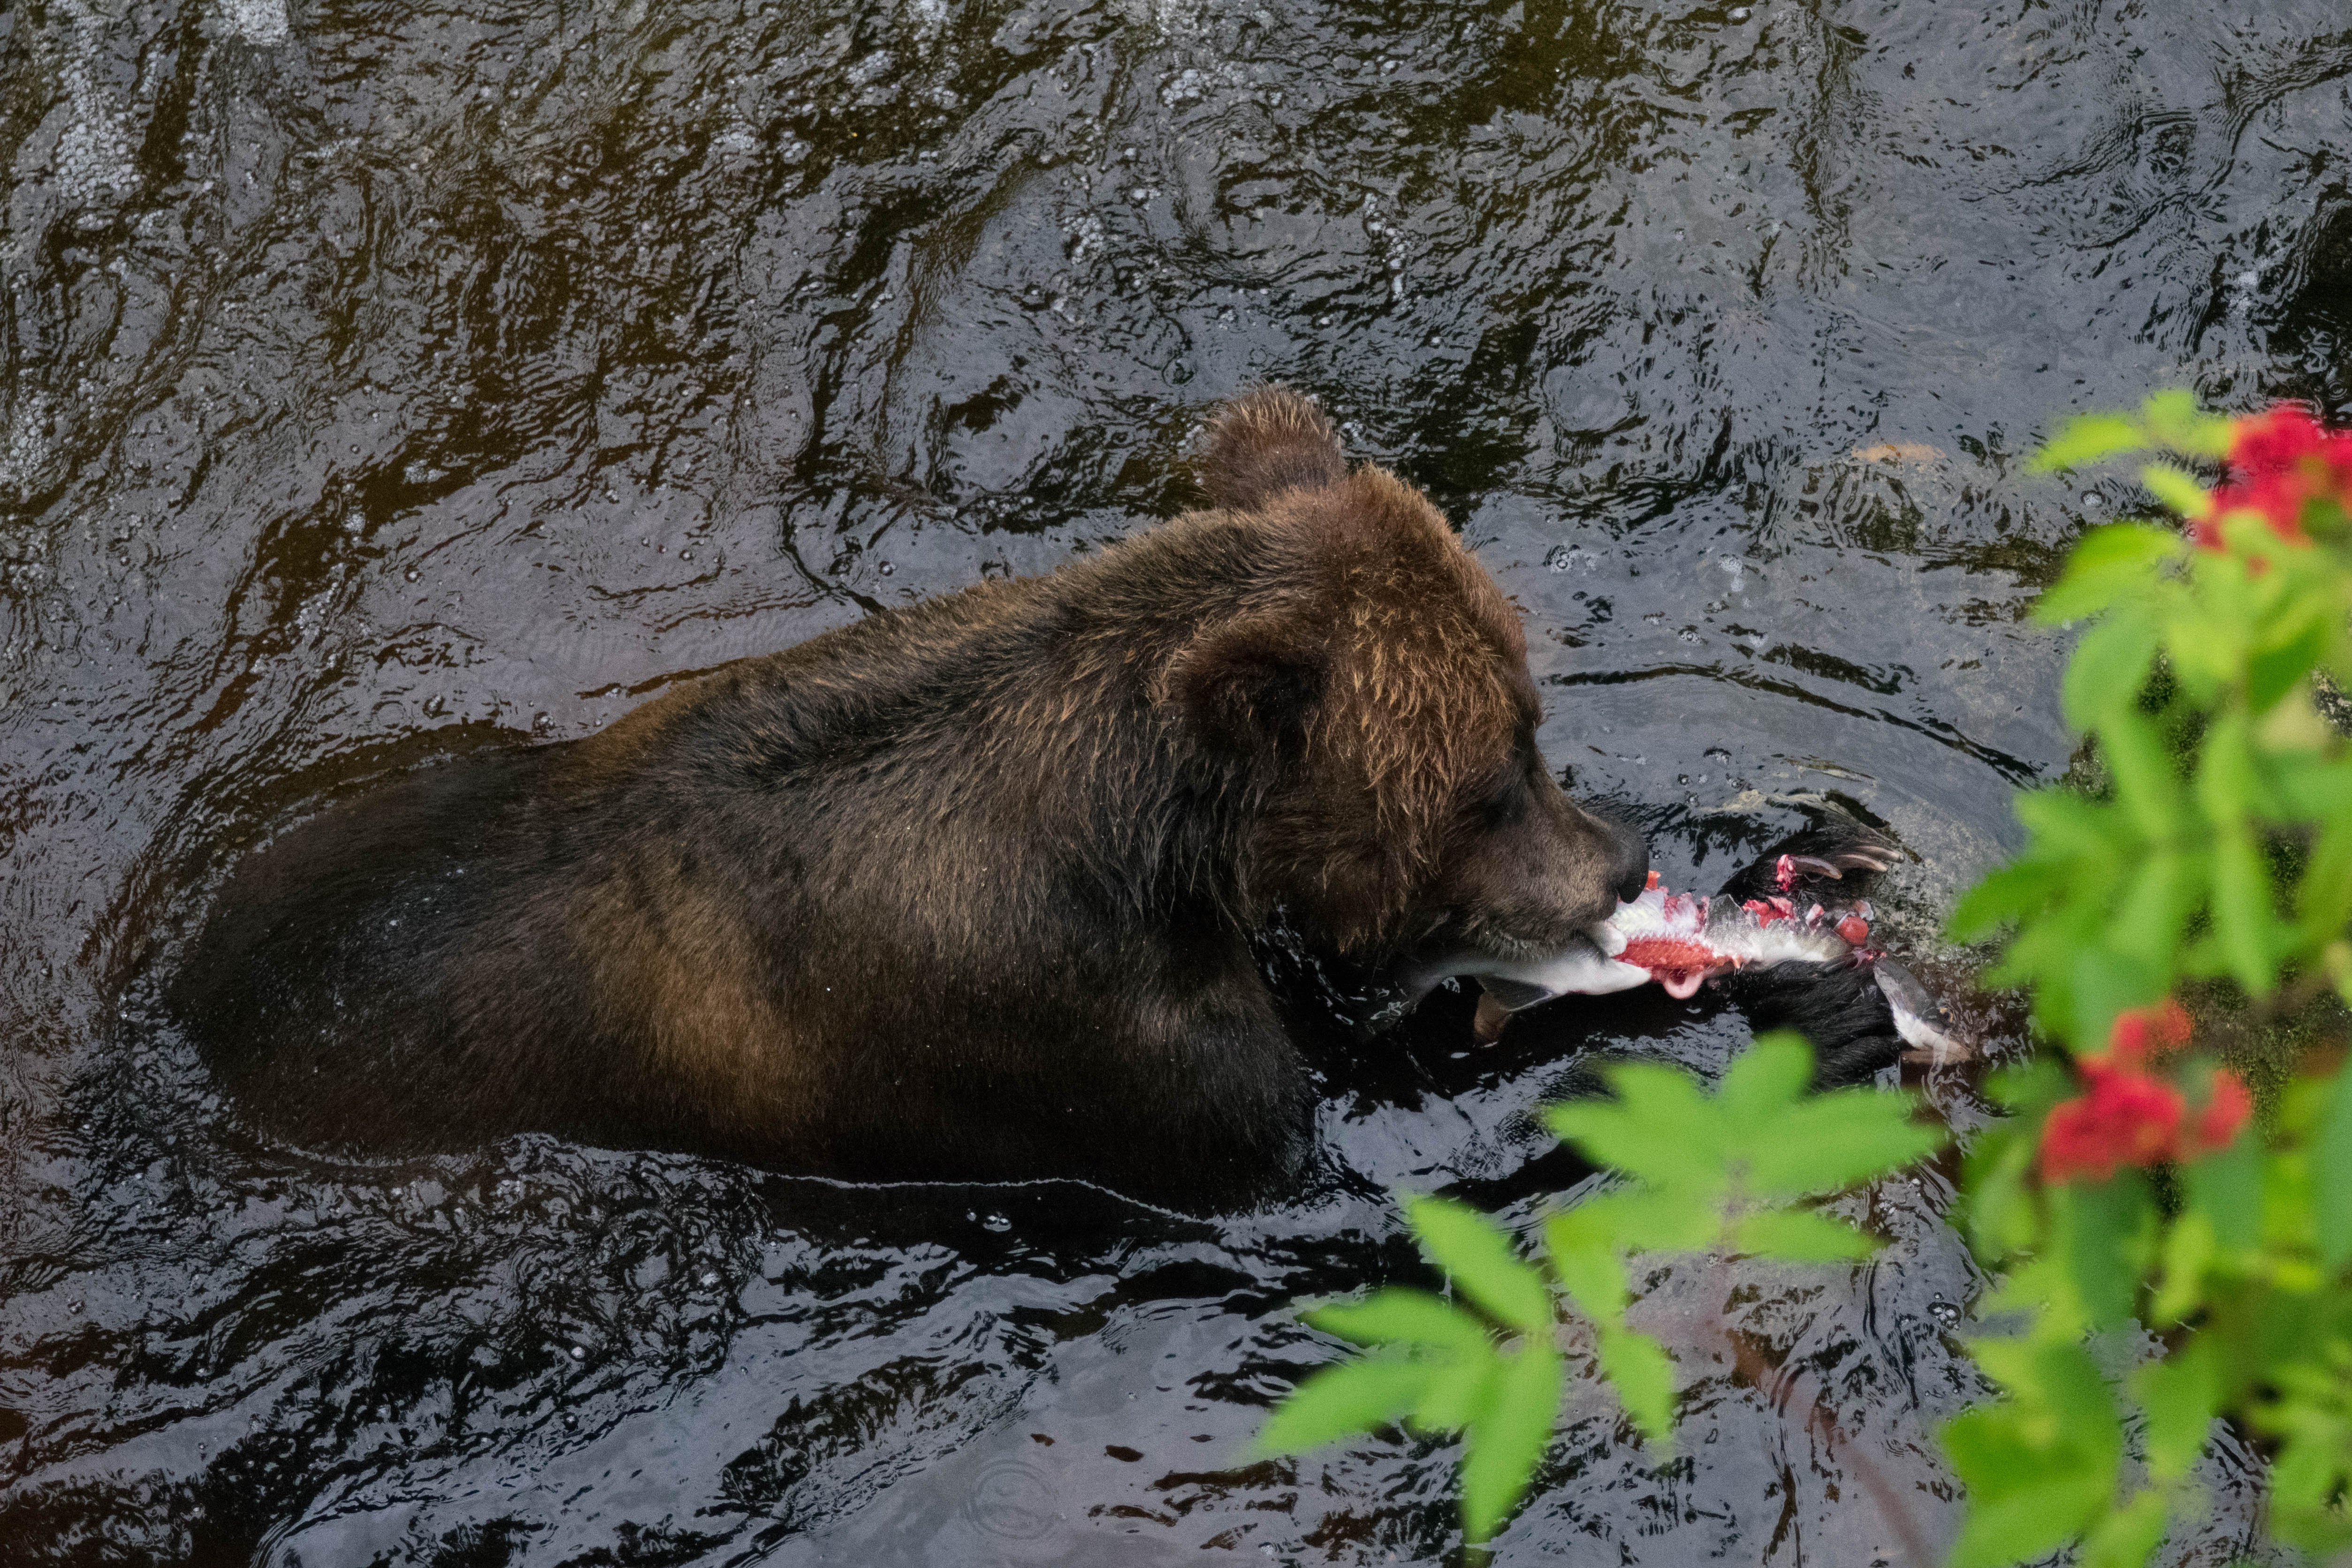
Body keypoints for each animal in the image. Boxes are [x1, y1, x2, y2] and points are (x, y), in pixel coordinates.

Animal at [168, 387, 1649, 1205]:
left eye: (1527, 724)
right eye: (1491, 775)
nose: (1621, 861)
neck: (1145, 843)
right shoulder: (1075, 1039)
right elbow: (1281, 1130)